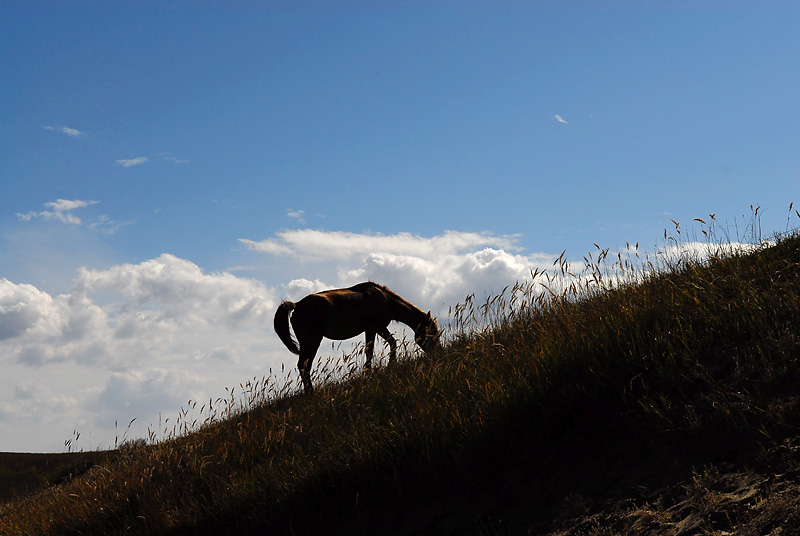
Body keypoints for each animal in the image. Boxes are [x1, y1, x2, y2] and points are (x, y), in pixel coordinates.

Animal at [274, 281, 440, 394]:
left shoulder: (372, 330)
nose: (438, 353)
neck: (384, 299)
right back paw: (311, 393)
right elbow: (383, 346)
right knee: (304, 366)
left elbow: (374, 349)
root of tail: (296, 305)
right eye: (432, 333)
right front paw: (386, 367)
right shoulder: (376, 328)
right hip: (312, 342)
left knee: (304, 366)